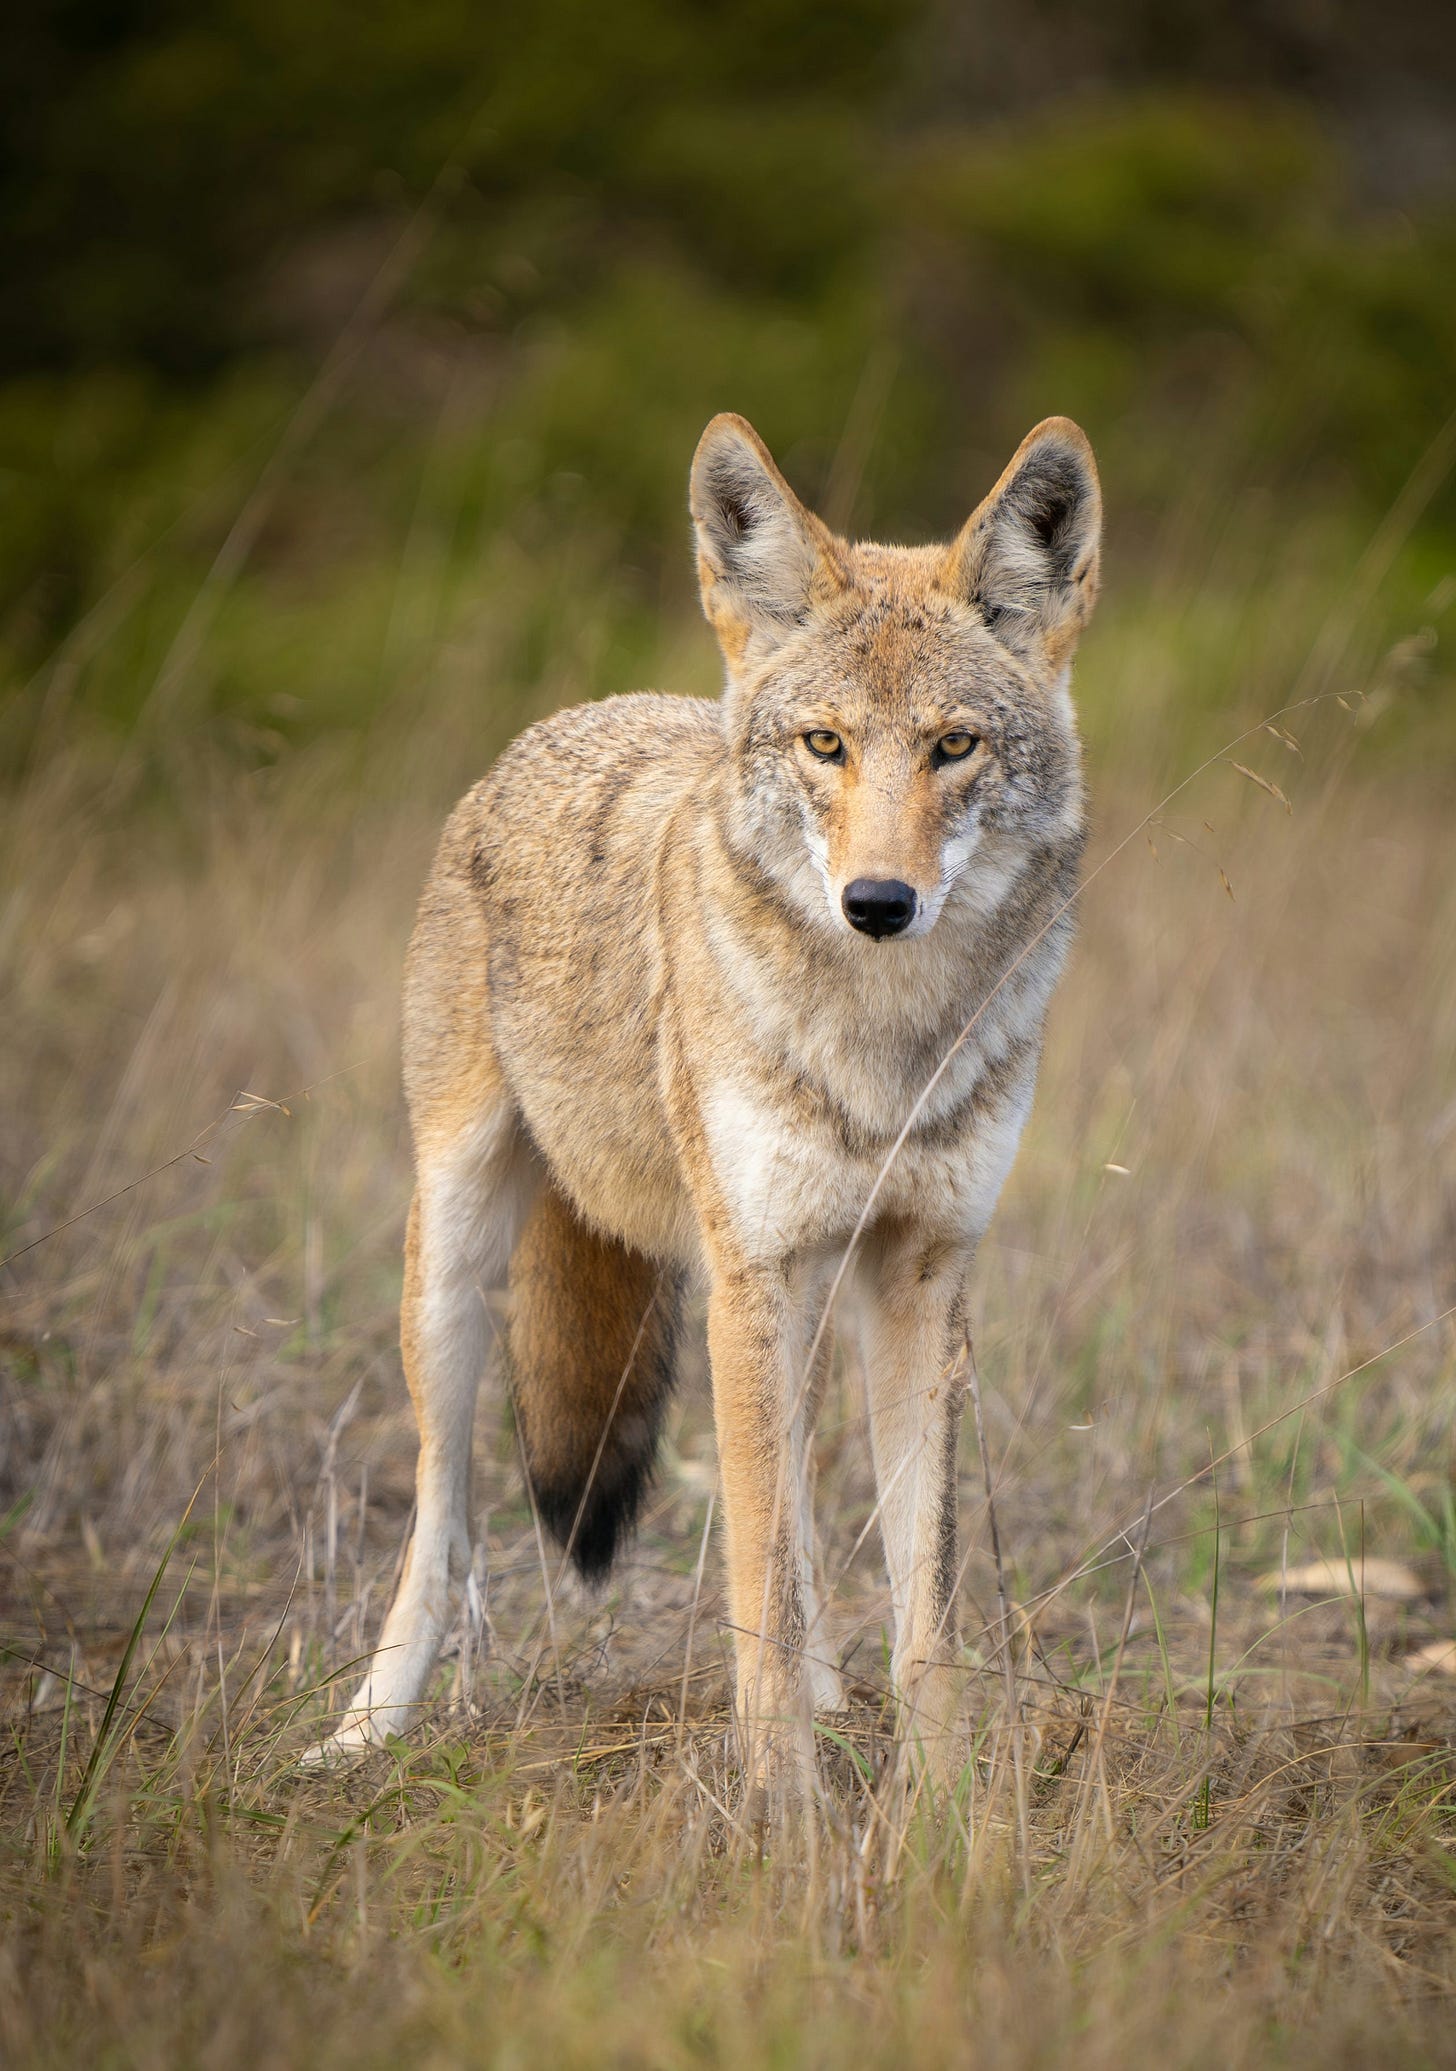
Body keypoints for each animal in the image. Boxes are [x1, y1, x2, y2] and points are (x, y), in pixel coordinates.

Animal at [321, 411, 1099, 1784]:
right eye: (825, 744)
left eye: (953, 745)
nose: (878, 902)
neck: (882, 1039)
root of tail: (577, 715)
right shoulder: (753, 1274)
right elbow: (764, 1590)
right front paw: (783, 1815)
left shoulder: (920, 1275)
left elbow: (926, 1608)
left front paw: (944, 1811)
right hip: (459, 1261)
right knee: (440, 1515)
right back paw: (366, 1729)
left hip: (797, 1300)